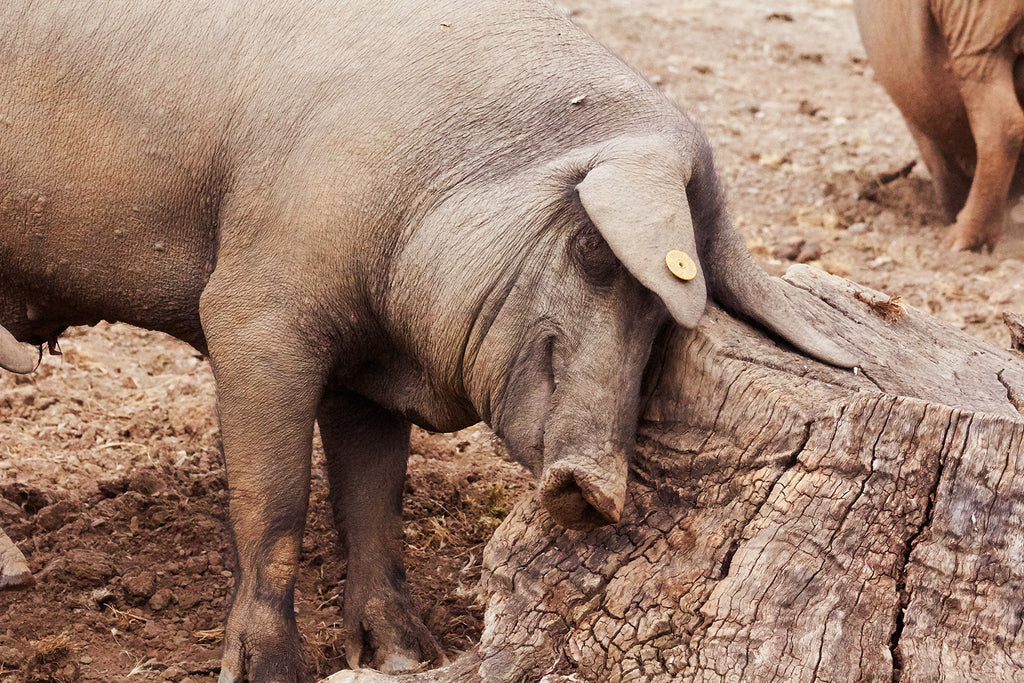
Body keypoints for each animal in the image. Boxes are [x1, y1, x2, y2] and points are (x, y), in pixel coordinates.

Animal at [0, 0, 856, 679]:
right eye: (590, 247)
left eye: (660, 321)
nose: (600, 490)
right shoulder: (254, 312)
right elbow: (276, 503)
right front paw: (267, 672)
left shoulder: (361, 374)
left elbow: (375, 499)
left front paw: (406, 657)